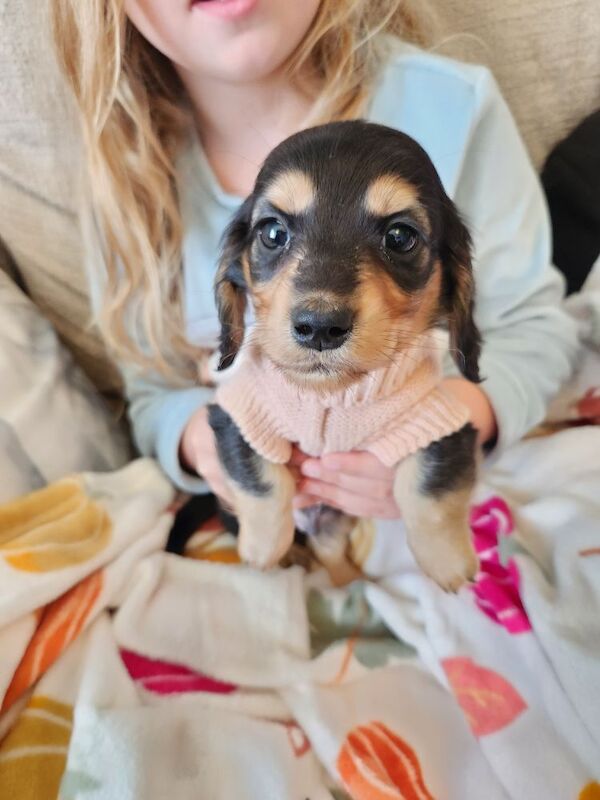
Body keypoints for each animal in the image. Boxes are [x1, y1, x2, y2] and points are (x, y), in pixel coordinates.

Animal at [209, 120, 480, 592]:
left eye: (400, 237)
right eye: (272, 232)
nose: (320, 327)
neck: (330, 394)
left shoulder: (439, 423)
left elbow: (429, 492)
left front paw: (449, 562)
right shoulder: (238, 416)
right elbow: (263, 484)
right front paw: (262, 551)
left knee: (330, 549)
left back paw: (347, 582)